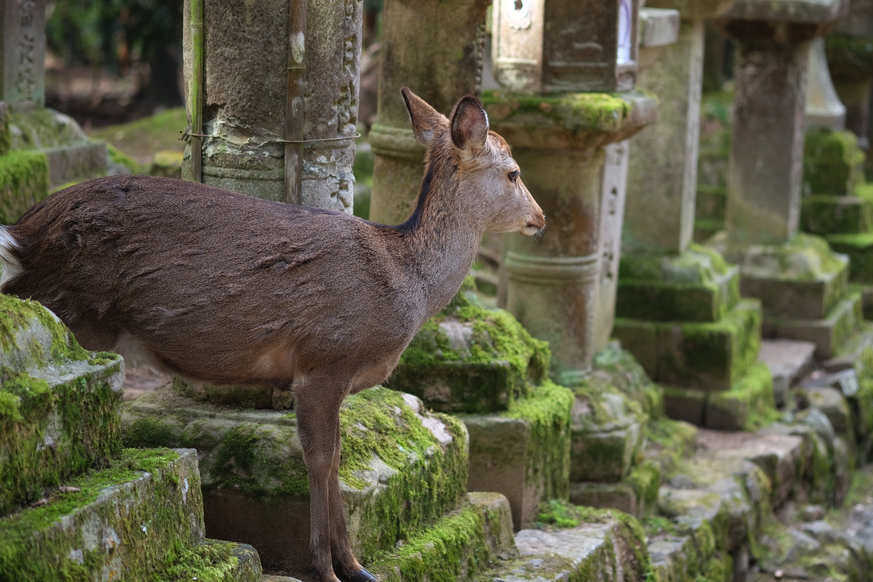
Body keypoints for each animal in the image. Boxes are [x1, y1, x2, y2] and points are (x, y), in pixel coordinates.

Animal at [0, 88, 540, 582]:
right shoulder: (324, 359)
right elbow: (320, 459)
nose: (541, 217)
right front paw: (327, 568)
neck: (407, 285)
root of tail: (22, 237)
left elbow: (338, 457)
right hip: (74, 310)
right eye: (513, 173)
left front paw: (356, 566)